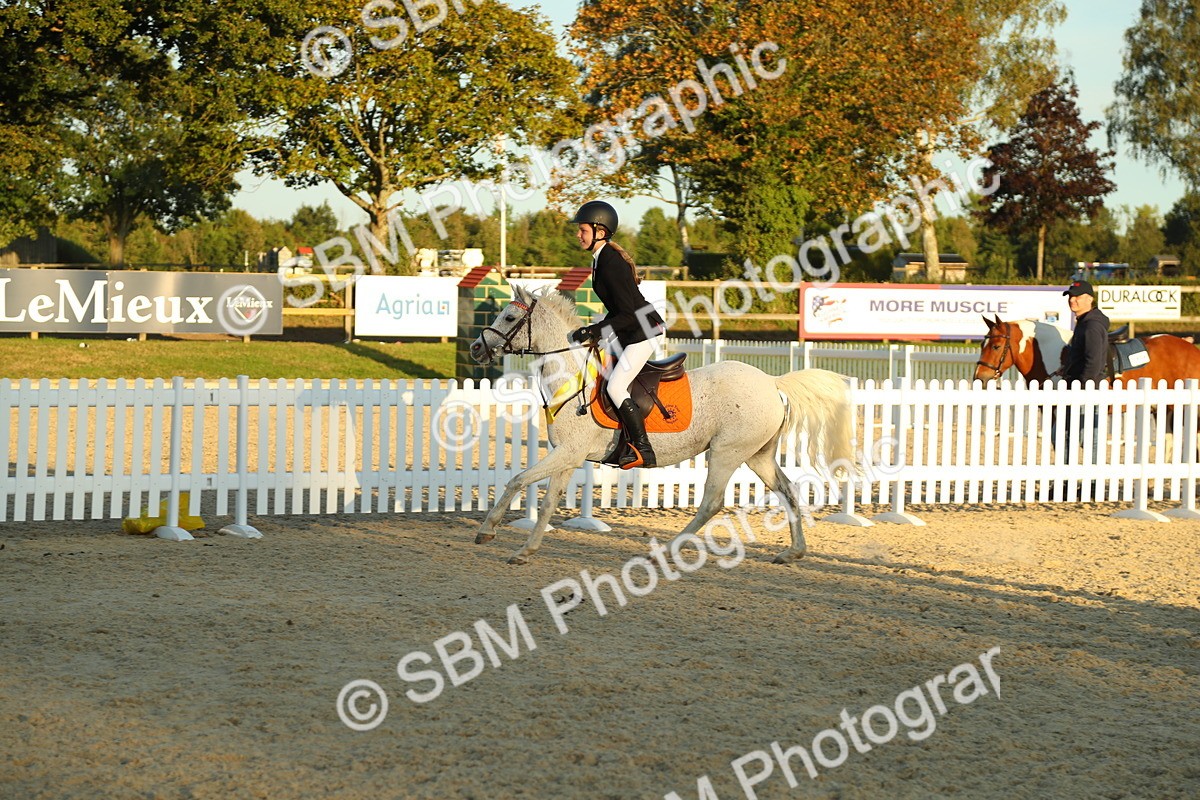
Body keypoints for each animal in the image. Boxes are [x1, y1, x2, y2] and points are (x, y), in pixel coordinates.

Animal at [468, 284, 855, 565]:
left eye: (507, 318)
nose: (475, 348)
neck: (572, 376)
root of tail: (772, 383)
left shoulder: (568, 453)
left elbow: (517, 480)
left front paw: (488, 530)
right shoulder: (568, 456)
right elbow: (547, 502)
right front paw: (525, 551)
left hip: (727, 452)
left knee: (712, 502)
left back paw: (668, 551)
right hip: (758, 454)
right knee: (787, 492)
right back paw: (794, 552)